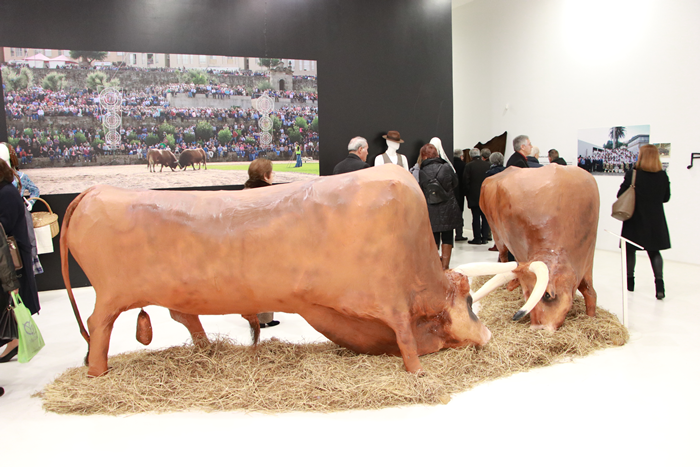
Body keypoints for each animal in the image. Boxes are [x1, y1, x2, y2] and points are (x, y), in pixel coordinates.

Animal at [60, 165, 549, 377]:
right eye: (470, 303)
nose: (489, 334)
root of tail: (93, 192)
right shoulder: (390, 304)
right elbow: (408, 345)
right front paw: (416, 374)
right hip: (109, 296)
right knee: (98, 326)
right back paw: (97, 373)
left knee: (182, 317)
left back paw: (208, 350)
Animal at [479, 164, 599, 331]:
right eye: (526, 294)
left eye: (547, 295)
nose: (537, 328)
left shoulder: (588, 259)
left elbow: (590, 292)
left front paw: (591, 318)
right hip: (496, 232)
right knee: (503, 255)